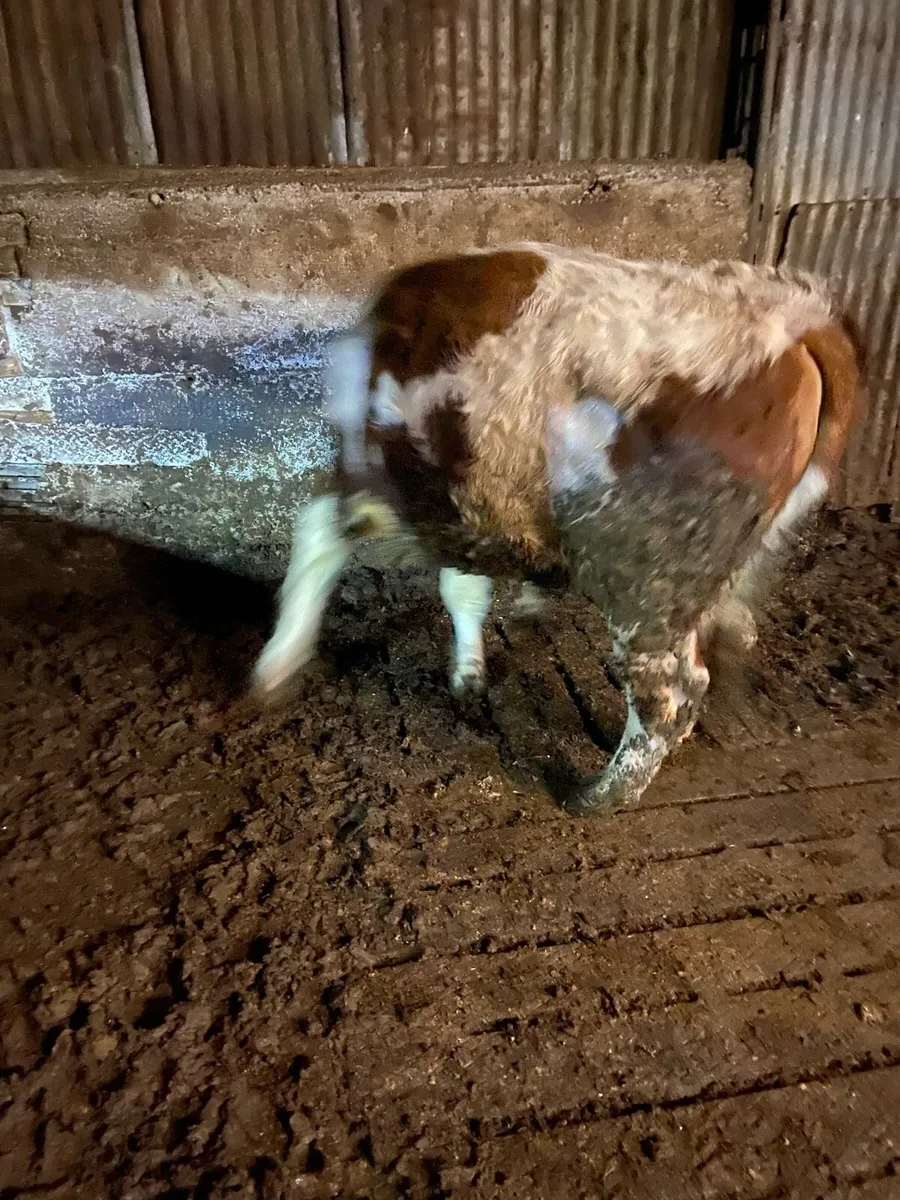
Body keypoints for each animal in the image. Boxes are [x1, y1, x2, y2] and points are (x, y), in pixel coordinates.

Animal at [252, 244, 863, 816]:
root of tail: (793, 318)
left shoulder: (380, 480)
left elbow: (316, 543)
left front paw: (273, 670)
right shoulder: (468, 497)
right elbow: (463, 585)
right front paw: (469, 673)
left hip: (647, 575)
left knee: (669, 694)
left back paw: (597, 796)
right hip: (728, 562)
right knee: (733, 632)